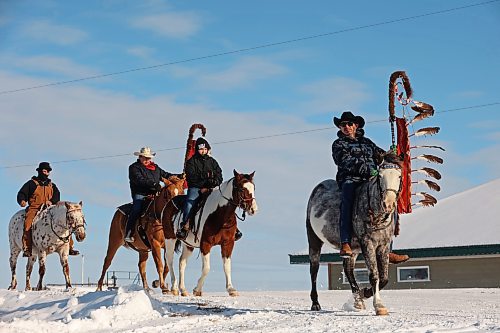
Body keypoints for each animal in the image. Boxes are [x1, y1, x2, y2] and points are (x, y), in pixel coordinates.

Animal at [304, 153, 402, 314]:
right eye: (380, 176)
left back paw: (358, 300)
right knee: (314, 270)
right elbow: (374, 275)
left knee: (348, 270)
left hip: (352, 249)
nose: (388, 204)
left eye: (399, 176)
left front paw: (365, 293)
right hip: (314, 240)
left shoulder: (384, 245)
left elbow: (384, 278)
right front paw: (379, 306)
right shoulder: (367, 243)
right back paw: (315, 303)